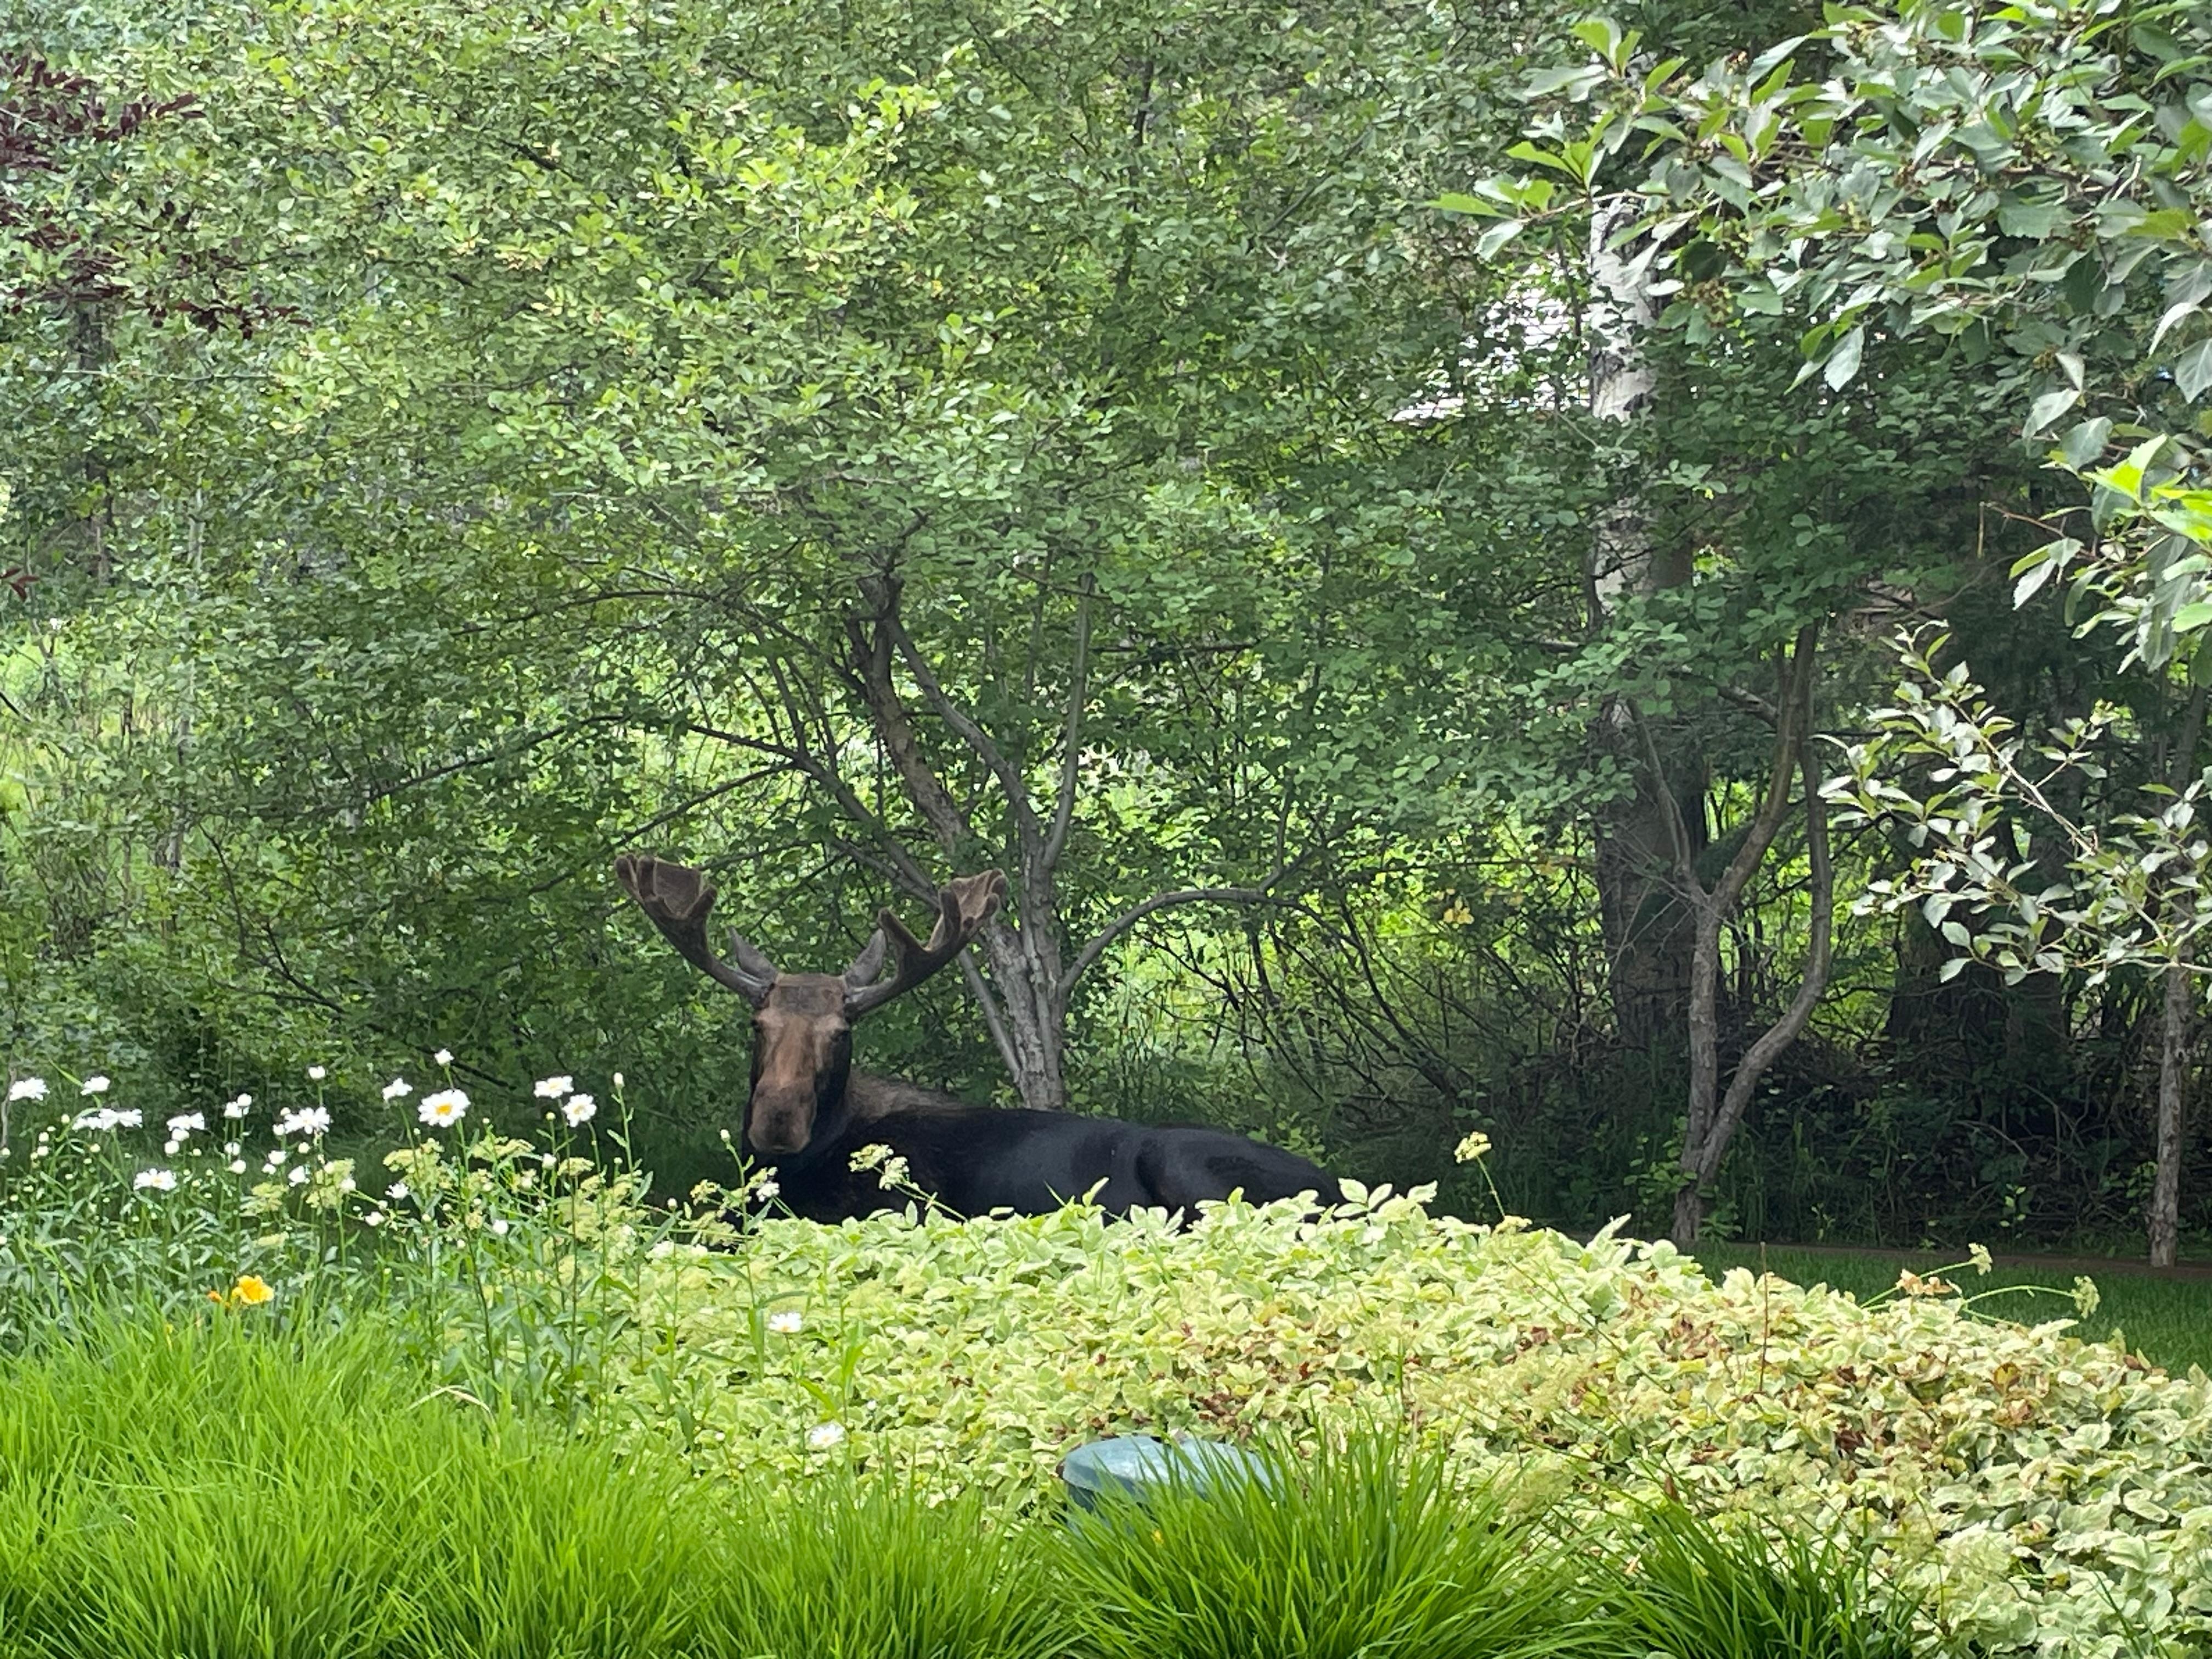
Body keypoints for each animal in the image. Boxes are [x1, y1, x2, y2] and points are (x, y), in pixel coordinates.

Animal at [615, 854, 1337, 1224]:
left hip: (1188, 1168)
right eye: (757, 1025)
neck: (799, 1163)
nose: (776, 1120)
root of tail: (1341, 1190)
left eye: (842, 1032)